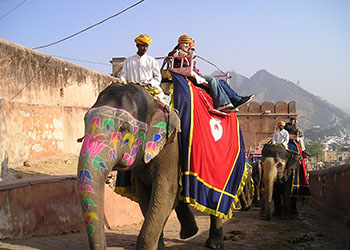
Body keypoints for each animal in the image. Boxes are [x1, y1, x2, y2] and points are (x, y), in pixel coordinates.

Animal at [77, 84, 224, 250]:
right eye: (85, 121)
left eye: (124, 128)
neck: (155, 103)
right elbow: (146, 196)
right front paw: (160, 247)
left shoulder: (172, 150)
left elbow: (165, 192)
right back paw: (190, 232)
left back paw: (214, 244)